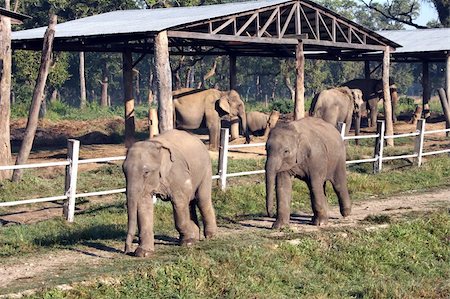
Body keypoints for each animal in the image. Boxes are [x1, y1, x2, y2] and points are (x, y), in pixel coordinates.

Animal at [121, 129, 216, 258]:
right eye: (123, 171)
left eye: (146, 172)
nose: (127, 250)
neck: (155, 144)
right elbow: (143, 205)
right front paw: (143, 253)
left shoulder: (177, 172)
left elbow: (179, 202)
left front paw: (187, 243)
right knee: (190, 203)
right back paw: (195, 237)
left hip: (206, 169)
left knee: (201, 199)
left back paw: (210, 237)